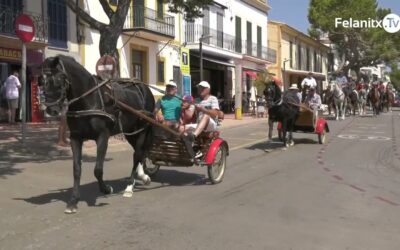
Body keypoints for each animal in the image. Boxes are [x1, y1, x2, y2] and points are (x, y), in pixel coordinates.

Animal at [40, 55, 155, 213]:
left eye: (60, 78)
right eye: (42, 80)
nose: (52, 110)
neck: (89, 99)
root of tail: (145, 88)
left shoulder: (102, 137)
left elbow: (98, 169)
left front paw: (106, 189)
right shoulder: (75, 138)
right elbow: (77, 169)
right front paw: (73, 201)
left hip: (143, 128)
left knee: (138, 153)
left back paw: (129, 186)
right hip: (130, 131)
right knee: (139, 153)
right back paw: (143, 176)